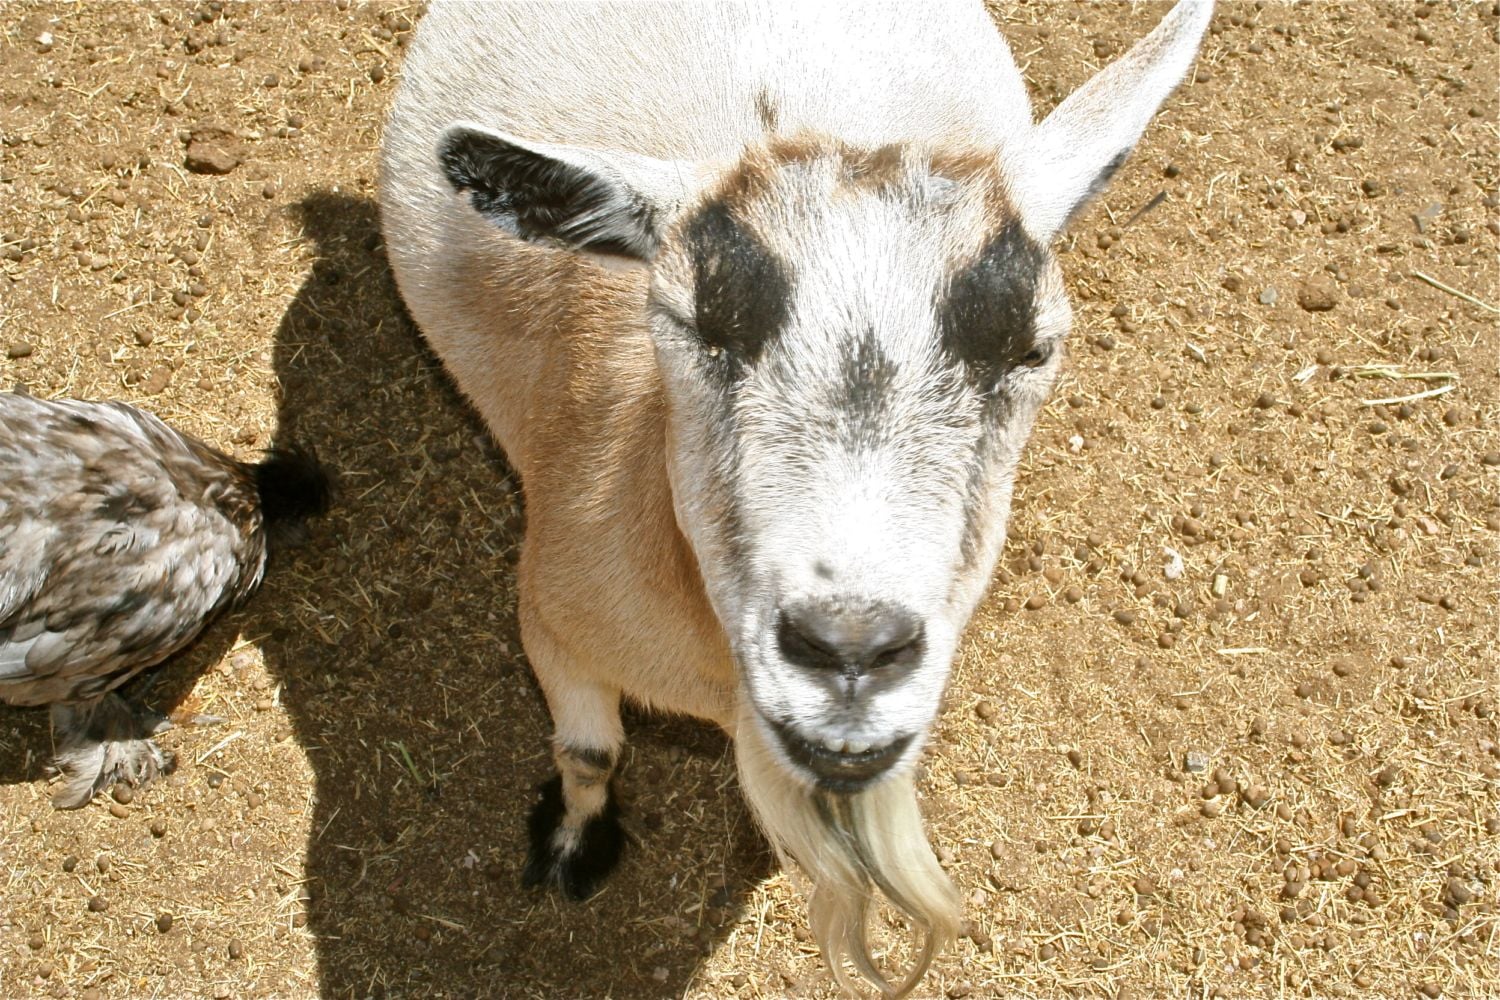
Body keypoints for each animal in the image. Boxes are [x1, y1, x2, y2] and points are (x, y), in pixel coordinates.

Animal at [378, 1, 1211, 994]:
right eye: (692, 319)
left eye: (1031, 346)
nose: (851, 649)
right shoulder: (548, 622)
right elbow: (589, 750)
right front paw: (573, 850)